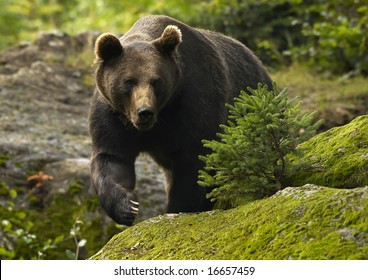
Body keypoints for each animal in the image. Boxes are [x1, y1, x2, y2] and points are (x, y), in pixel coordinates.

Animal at [89, 14, 274, 225]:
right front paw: (127, 206)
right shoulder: (112, 115)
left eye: (156, 81)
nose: (145, 112)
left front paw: (174, 210)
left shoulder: (195, 104)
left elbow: (192, 165)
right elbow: (112, 157)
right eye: (129, 81)